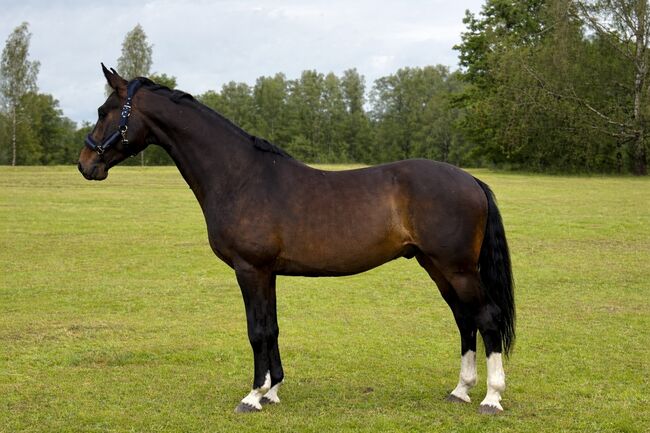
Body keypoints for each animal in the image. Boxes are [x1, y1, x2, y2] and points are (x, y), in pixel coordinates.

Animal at [78, 65, 515, 415]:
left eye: (104, 112)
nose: (85, 164)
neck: (241, 176)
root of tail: (471, 180)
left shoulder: (250, 269)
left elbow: (256, 330)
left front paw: (252, 396)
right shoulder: (266, 272)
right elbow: (271, 328)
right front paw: (272, 391)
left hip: (457, 268)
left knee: (486, 318)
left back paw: (491, 398)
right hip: (437, 266)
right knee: (464, 319)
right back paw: (460, 390)